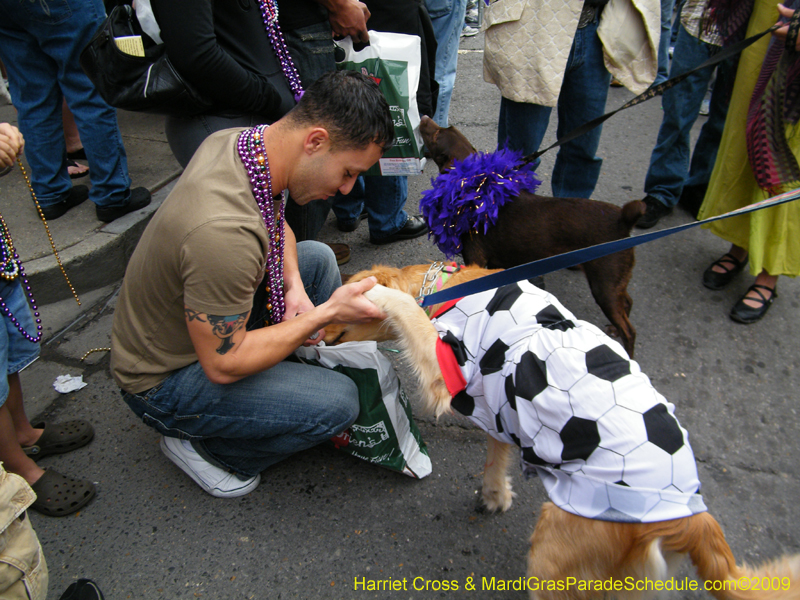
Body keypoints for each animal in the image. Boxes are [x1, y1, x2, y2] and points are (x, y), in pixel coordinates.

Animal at [324, 264, 800, 600]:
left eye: (334, 301)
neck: (447, 287)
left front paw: (379, 294)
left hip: (553, 557)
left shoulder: (446, 373)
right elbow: (496, 456)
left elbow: (401, 307)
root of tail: (691, 518)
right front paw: (495, 494)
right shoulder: (499, 403)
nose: (313, 326)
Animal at [418, 116, 644, 356]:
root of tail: (622, 218)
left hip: (604, 285)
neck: (474, 188)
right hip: (614, 282)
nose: (424, 118)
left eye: (437, 135)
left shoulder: (475, 260)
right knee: (628, 302)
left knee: (629, 330)